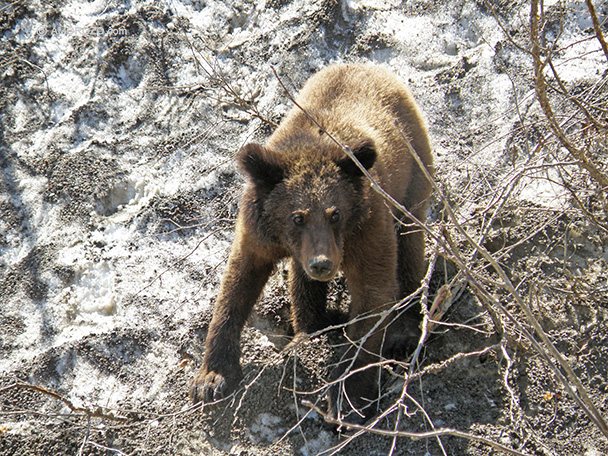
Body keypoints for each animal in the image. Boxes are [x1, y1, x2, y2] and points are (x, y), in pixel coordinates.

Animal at [190, 63, 432, 416]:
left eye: (335, 214)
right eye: (297, 216)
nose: (322, 264)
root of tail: (370, 66)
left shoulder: (365, 227)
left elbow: (373, 292)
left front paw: (348, 395)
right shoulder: (260, 230)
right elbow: (238, 282)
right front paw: (212, 378)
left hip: (413, 175)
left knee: (410, 244)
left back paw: (405, 331)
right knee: (301, 281)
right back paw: (307, 332)